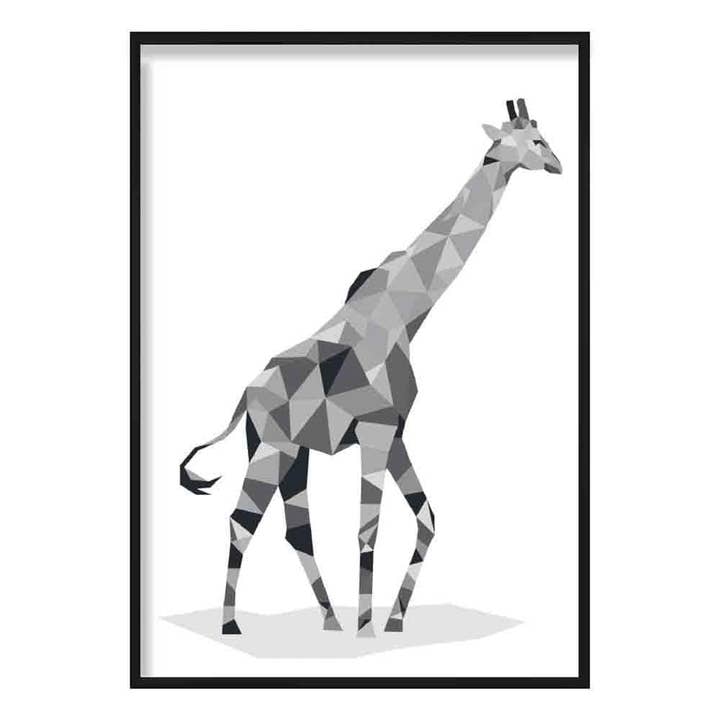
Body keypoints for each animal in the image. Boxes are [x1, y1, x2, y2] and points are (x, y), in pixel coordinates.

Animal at [180, 98, 562, 637]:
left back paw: (329, 620)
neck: (405, 311)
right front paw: (367, 628)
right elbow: (369, 528)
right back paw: (234, 624)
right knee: (242, 521)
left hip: (294, 454)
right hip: (273, 449)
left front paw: (394, 619)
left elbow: (428, 519)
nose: (558, 165)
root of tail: (244, 399)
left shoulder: (396, 432)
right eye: (535, 141)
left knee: (296, 530)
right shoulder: (377, 430)